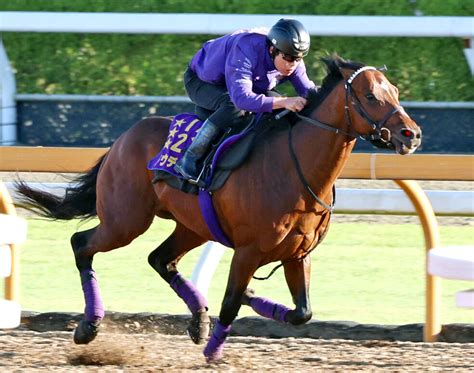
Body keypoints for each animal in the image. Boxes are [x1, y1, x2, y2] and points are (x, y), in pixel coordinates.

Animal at [14, 56, 422, 362]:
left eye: (395, 92)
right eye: (370, 95)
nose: (412, 134)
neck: (294, 168)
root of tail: (123, 138)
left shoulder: (297, 254)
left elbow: (301, 312)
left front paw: (252, 298)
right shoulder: (248, 251)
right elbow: (229, 304)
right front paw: (213, 351)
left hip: (190, 226)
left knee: (160, 259)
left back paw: (198, 320)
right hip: (124, 220)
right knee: (82, 245)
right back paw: (89, 326)